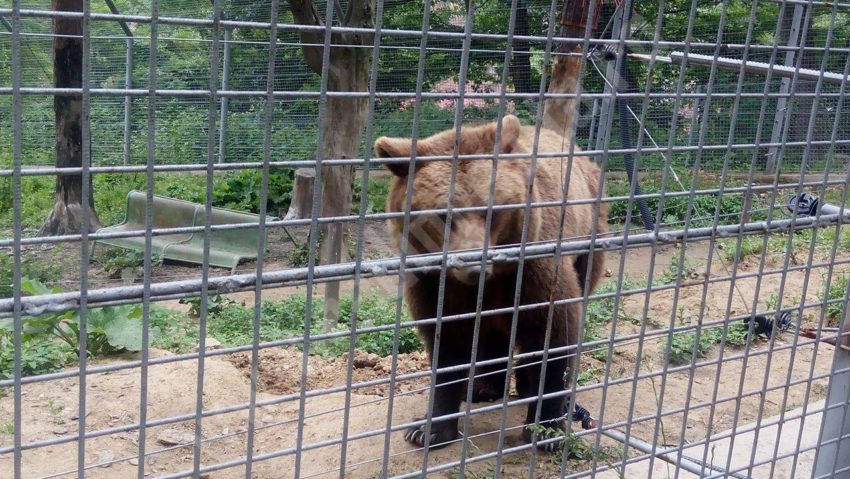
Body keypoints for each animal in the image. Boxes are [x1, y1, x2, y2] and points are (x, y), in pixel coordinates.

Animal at [374, 114, 608, 452]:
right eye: (443, 215)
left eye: (491, 209)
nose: (473, 264)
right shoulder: (435, 284)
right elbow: (447, 348)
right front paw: (428, 429)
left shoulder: (533, 268)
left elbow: (554, 333)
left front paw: (546, 429)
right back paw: (483, 386)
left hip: (588, 236)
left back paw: (526, 387)